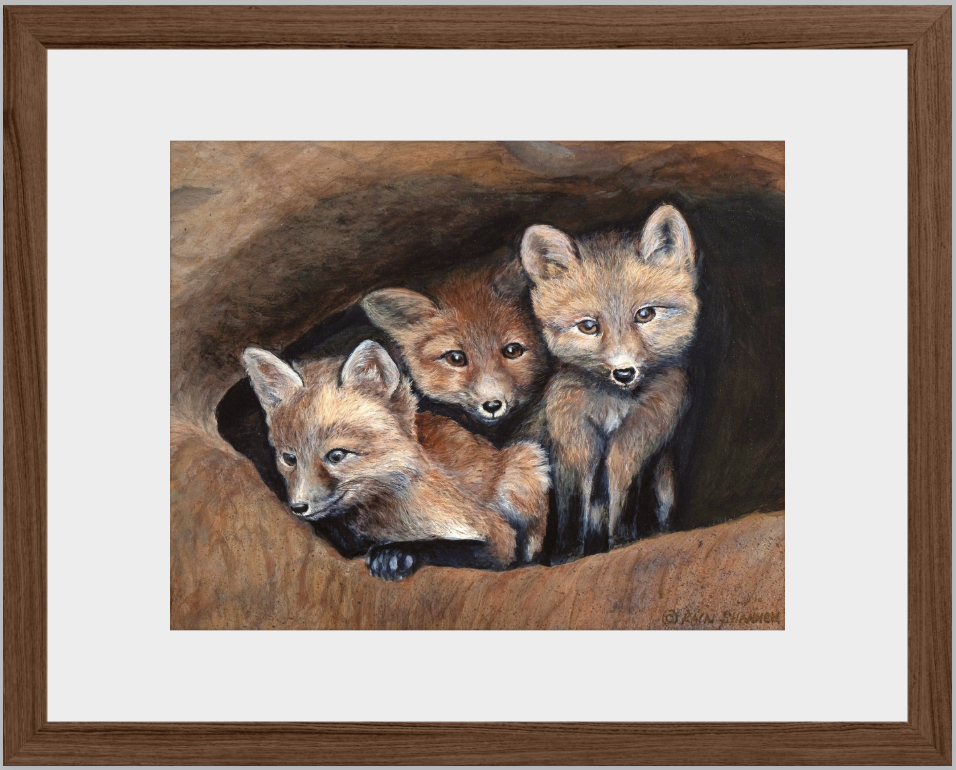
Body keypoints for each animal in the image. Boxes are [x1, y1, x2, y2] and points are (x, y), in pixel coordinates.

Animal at [242, 339, 550, 581]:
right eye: (289, 458)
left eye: (337, 455)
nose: (298, 507)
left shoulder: (496, 535)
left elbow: (448, 547)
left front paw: (396, 554)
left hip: (528, 463)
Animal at [518, 204, 699, 560]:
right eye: (588, 326)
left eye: (645, 315)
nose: (624, 372)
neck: (614, 406)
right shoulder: (573, 439)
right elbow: (573, 506)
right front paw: (567, 555)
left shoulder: (638, 439)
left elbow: (623, 497)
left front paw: (623, 542)